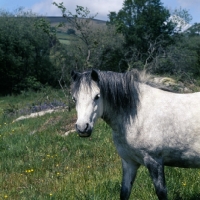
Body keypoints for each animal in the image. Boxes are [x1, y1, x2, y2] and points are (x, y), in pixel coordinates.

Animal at [70, 69, 200, 200]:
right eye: (74, 99)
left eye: (97, 96)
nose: (82, 128)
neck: (137, 115)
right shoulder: (129, 162)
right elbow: (124, 192)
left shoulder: (154, 161)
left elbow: (161, 193)